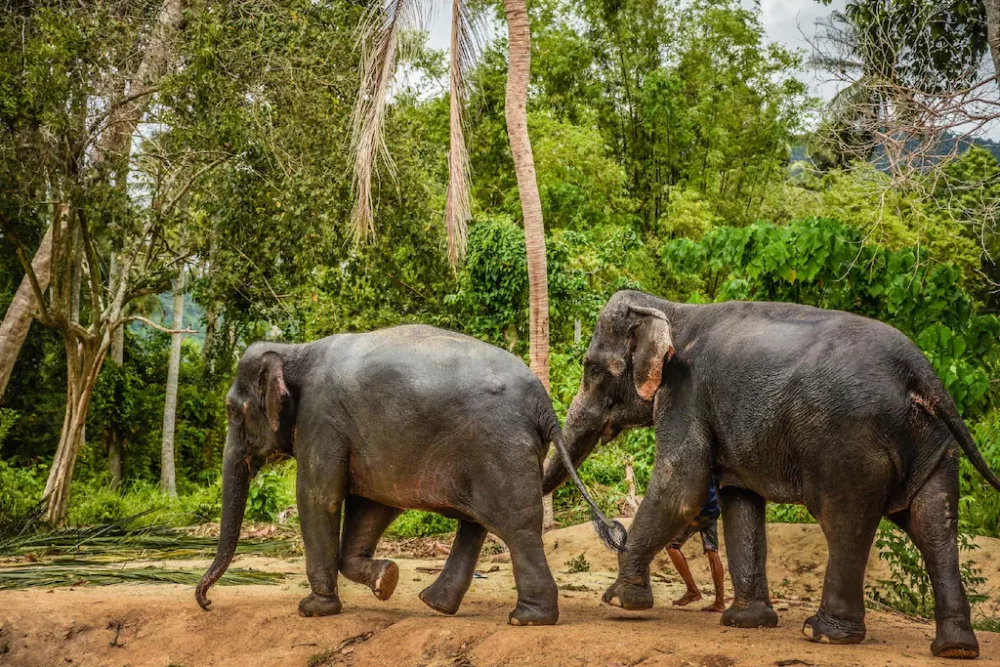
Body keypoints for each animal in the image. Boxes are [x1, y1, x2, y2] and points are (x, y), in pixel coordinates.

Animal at [196, 325, 624, 626]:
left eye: (232, 411)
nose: (207, 601)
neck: (294, 349)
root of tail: (543, 403)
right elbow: (371, 507)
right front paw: (385, 579)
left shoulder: (321, 419)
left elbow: (319, 497)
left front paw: (313, 609)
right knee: (477, 524)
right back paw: (436, 604)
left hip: (500, 447)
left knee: (517, 527)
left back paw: (527, 619)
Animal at [543, 289, 1000, 659]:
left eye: (592, 368)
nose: (611, 529)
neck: (672, 309)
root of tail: (920, 371)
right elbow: (738, 497)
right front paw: (746, 622)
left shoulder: (686, 392)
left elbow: (682, 487)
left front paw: (618, 602)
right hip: (934, 444)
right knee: (933, 525)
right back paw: (955, 648)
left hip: (849, 445)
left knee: (845, 523)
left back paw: (823, 634)